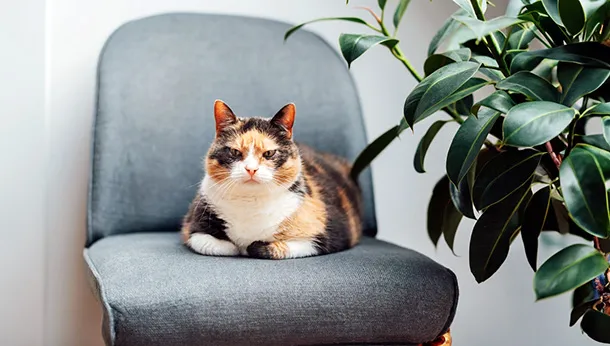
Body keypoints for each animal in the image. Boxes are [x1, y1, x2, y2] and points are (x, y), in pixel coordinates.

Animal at [180, 100, 360, 260]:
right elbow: (223, 246)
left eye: (269, 153)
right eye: (235, 152)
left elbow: (265, 248)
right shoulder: (192, 228)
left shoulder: (326, 235)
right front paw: (237, 247)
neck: (250, 203)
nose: (251, 169)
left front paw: (251, 246)